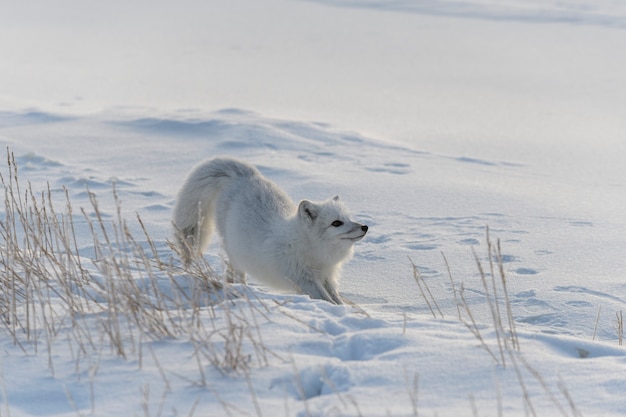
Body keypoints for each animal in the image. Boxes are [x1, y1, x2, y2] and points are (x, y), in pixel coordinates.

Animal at [171, 158, 366, 304]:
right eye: (336, 223)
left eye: (348, 218)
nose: (365, 227)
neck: (314, 252)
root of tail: (246, 175)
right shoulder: (303, 279)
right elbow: (326, 299)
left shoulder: (327, 276)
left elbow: (335, 298)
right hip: (232, 247)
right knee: (235, 270)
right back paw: (241, 287)